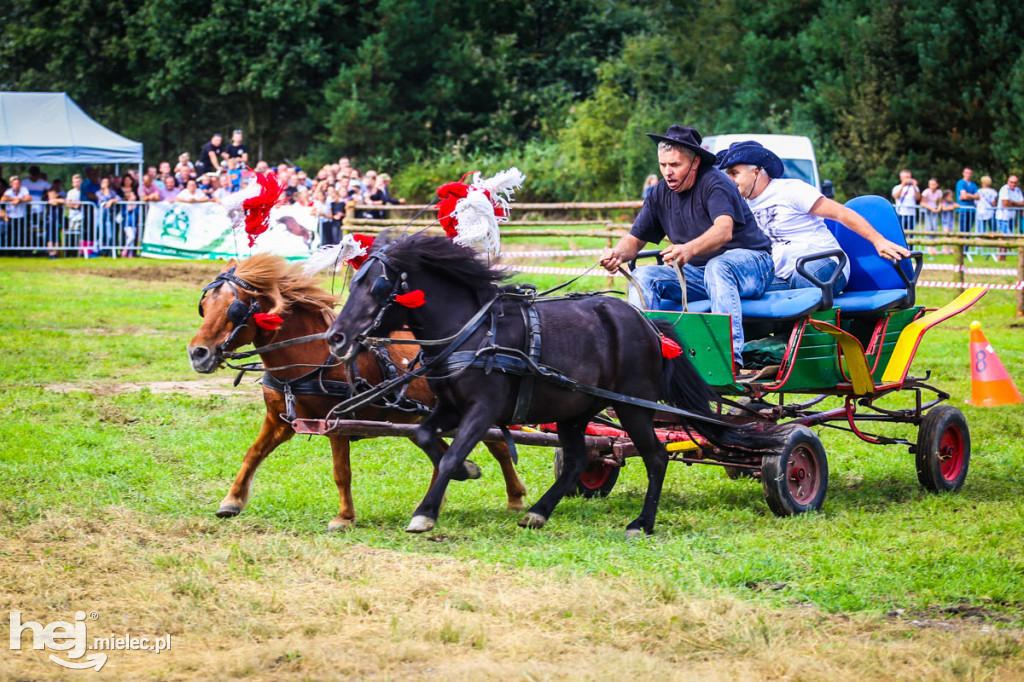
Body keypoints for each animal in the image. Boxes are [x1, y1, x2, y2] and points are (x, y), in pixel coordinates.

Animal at [188, 251, 528, 528]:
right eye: (204, 306)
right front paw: (232, 501)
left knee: (496, 447)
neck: (310, 356)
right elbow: (253, 454)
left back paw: (515, 497)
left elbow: (341, 471)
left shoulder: (334, 422)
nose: (197, 353)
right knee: (444, 452)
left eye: (234, 310)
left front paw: (344, 517)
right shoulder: (279, 421)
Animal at [325, 233, 774, 536]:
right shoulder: (450, 407)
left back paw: (642, 522)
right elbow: (422, 435)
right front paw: (469, 471)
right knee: (576, 461)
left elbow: (449, 456)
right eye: (354, 281)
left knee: (657, 457)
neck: (471, 331)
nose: (336, 337)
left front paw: (426, 512)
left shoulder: (483, 410)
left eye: (377, 285)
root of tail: (647, 324)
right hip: (575, 410)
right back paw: (539, 511)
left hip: (632, 406)